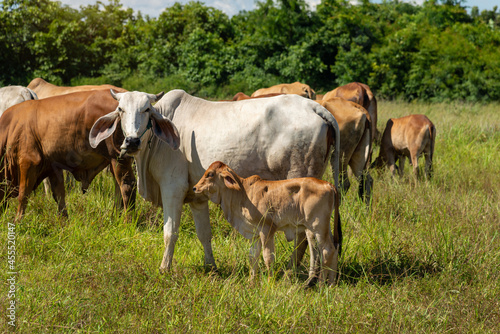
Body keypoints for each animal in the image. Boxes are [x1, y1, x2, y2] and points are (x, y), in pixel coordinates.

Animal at [0, 89, 152, 219]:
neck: (10, 128)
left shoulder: (28, 162)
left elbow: (23, 195)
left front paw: (17, 221)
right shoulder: (53, 166)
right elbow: (59, 196)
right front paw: (64, 221)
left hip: (119, 157)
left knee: (127, 186)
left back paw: (127, 220)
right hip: (114, 161)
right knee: (118, 188)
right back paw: (116, 216)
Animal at [90, 90, 340, 272]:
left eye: (146, 109)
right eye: (121, 109)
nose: (131, 141)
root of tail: (314, 106)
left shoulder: (172, 188)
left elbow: (170, 232)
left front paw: (164, 268)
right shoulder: (196, 196)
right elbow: (204, 233)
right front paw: (211, 266)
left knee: (303, 236)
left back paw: (293, 270)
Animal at [193, 160, 342, 286]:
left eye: (210, 174)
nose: (194, 188)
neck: (242, 194)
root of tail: (328, 184)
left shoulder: (267, 229)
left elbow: (268, 257)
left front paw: (270, 282)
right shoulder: (254, 234)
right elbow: (252, 257)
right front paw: (251, 281)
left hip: (317, 226)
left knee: (327, 251)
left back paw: (321, 285)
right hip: (324, 227)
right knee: (334, 249)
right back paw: (331, 284)